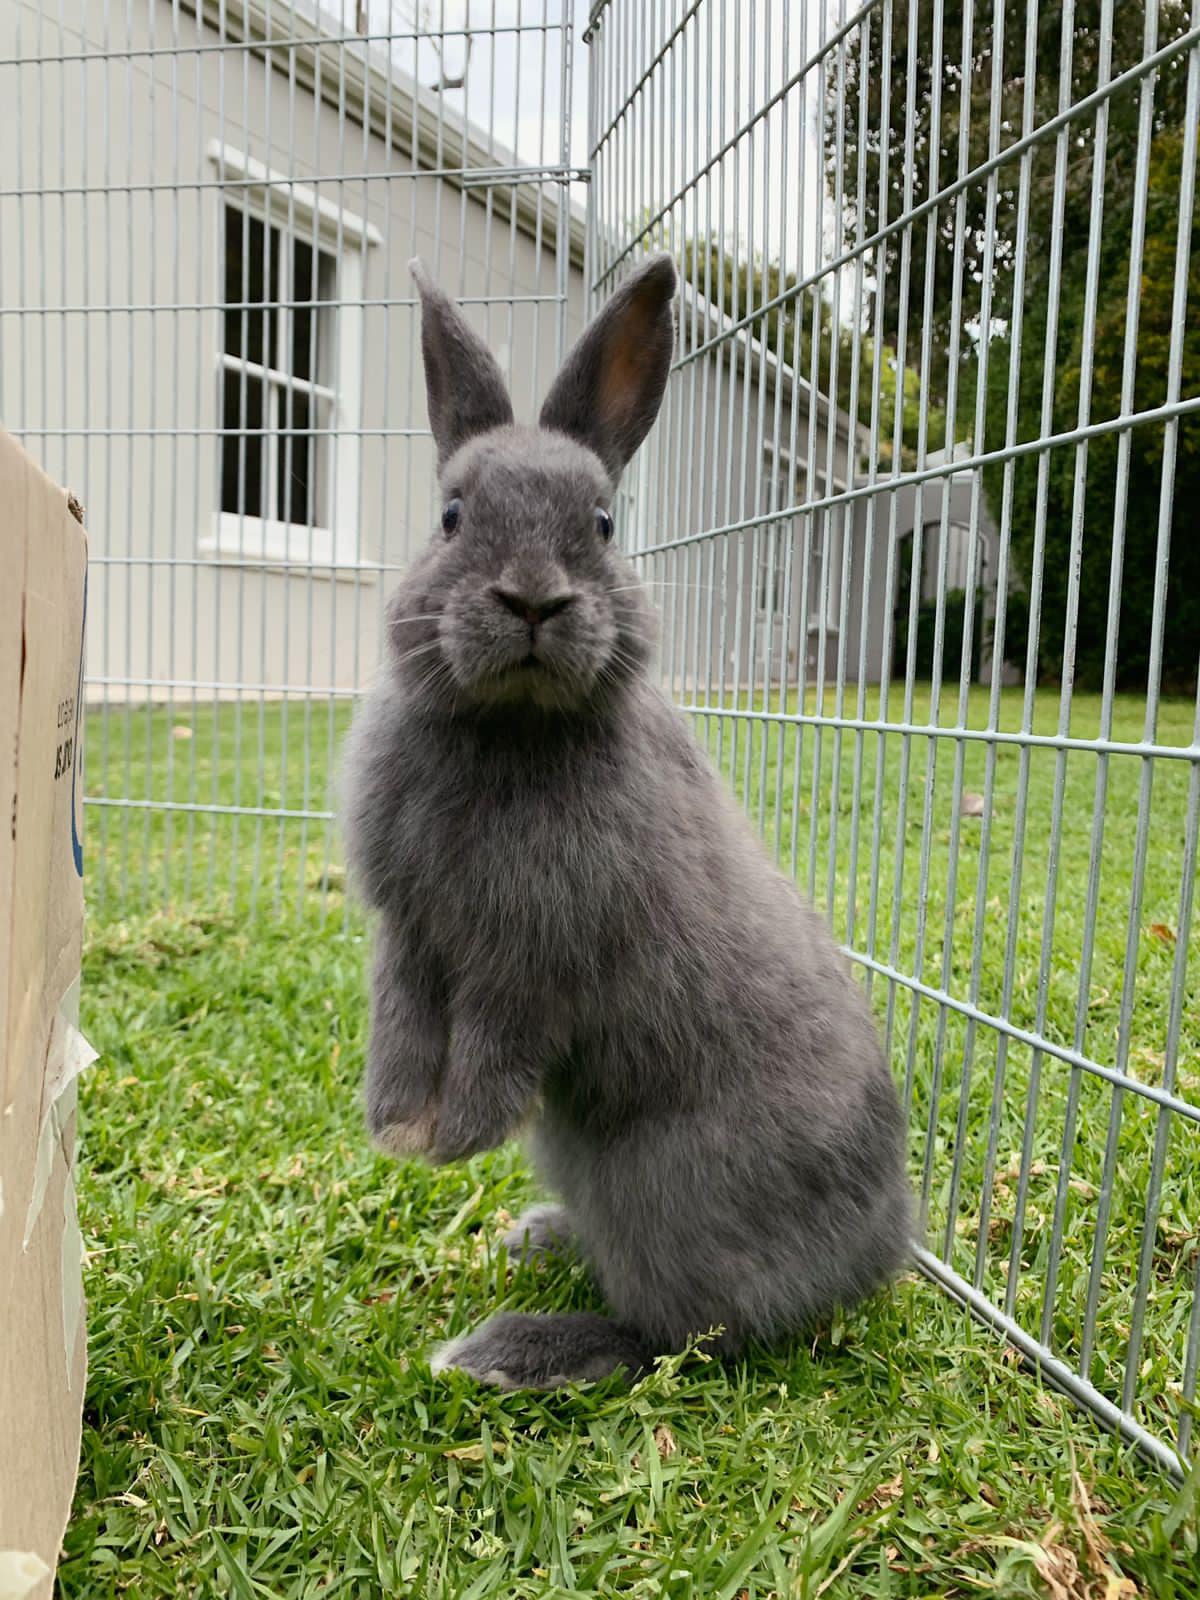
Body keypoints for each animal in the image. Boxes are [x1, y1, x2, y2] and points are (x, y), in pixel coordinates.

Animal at [340, 253, 912, 1390]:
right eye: (452, 515)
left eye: (602, 524)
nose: (532, 600)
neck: (512, 727)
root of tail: (879, 1254)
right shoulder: (413, 935)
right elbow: (402, 1023)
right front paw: (402, 1129)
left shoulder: (532, 958)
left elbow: (493, 1047)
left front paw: (452, 1138)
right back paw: (539, 1235)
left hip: (665, 1194)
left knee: (681, 1336)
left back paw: (517, 1347)